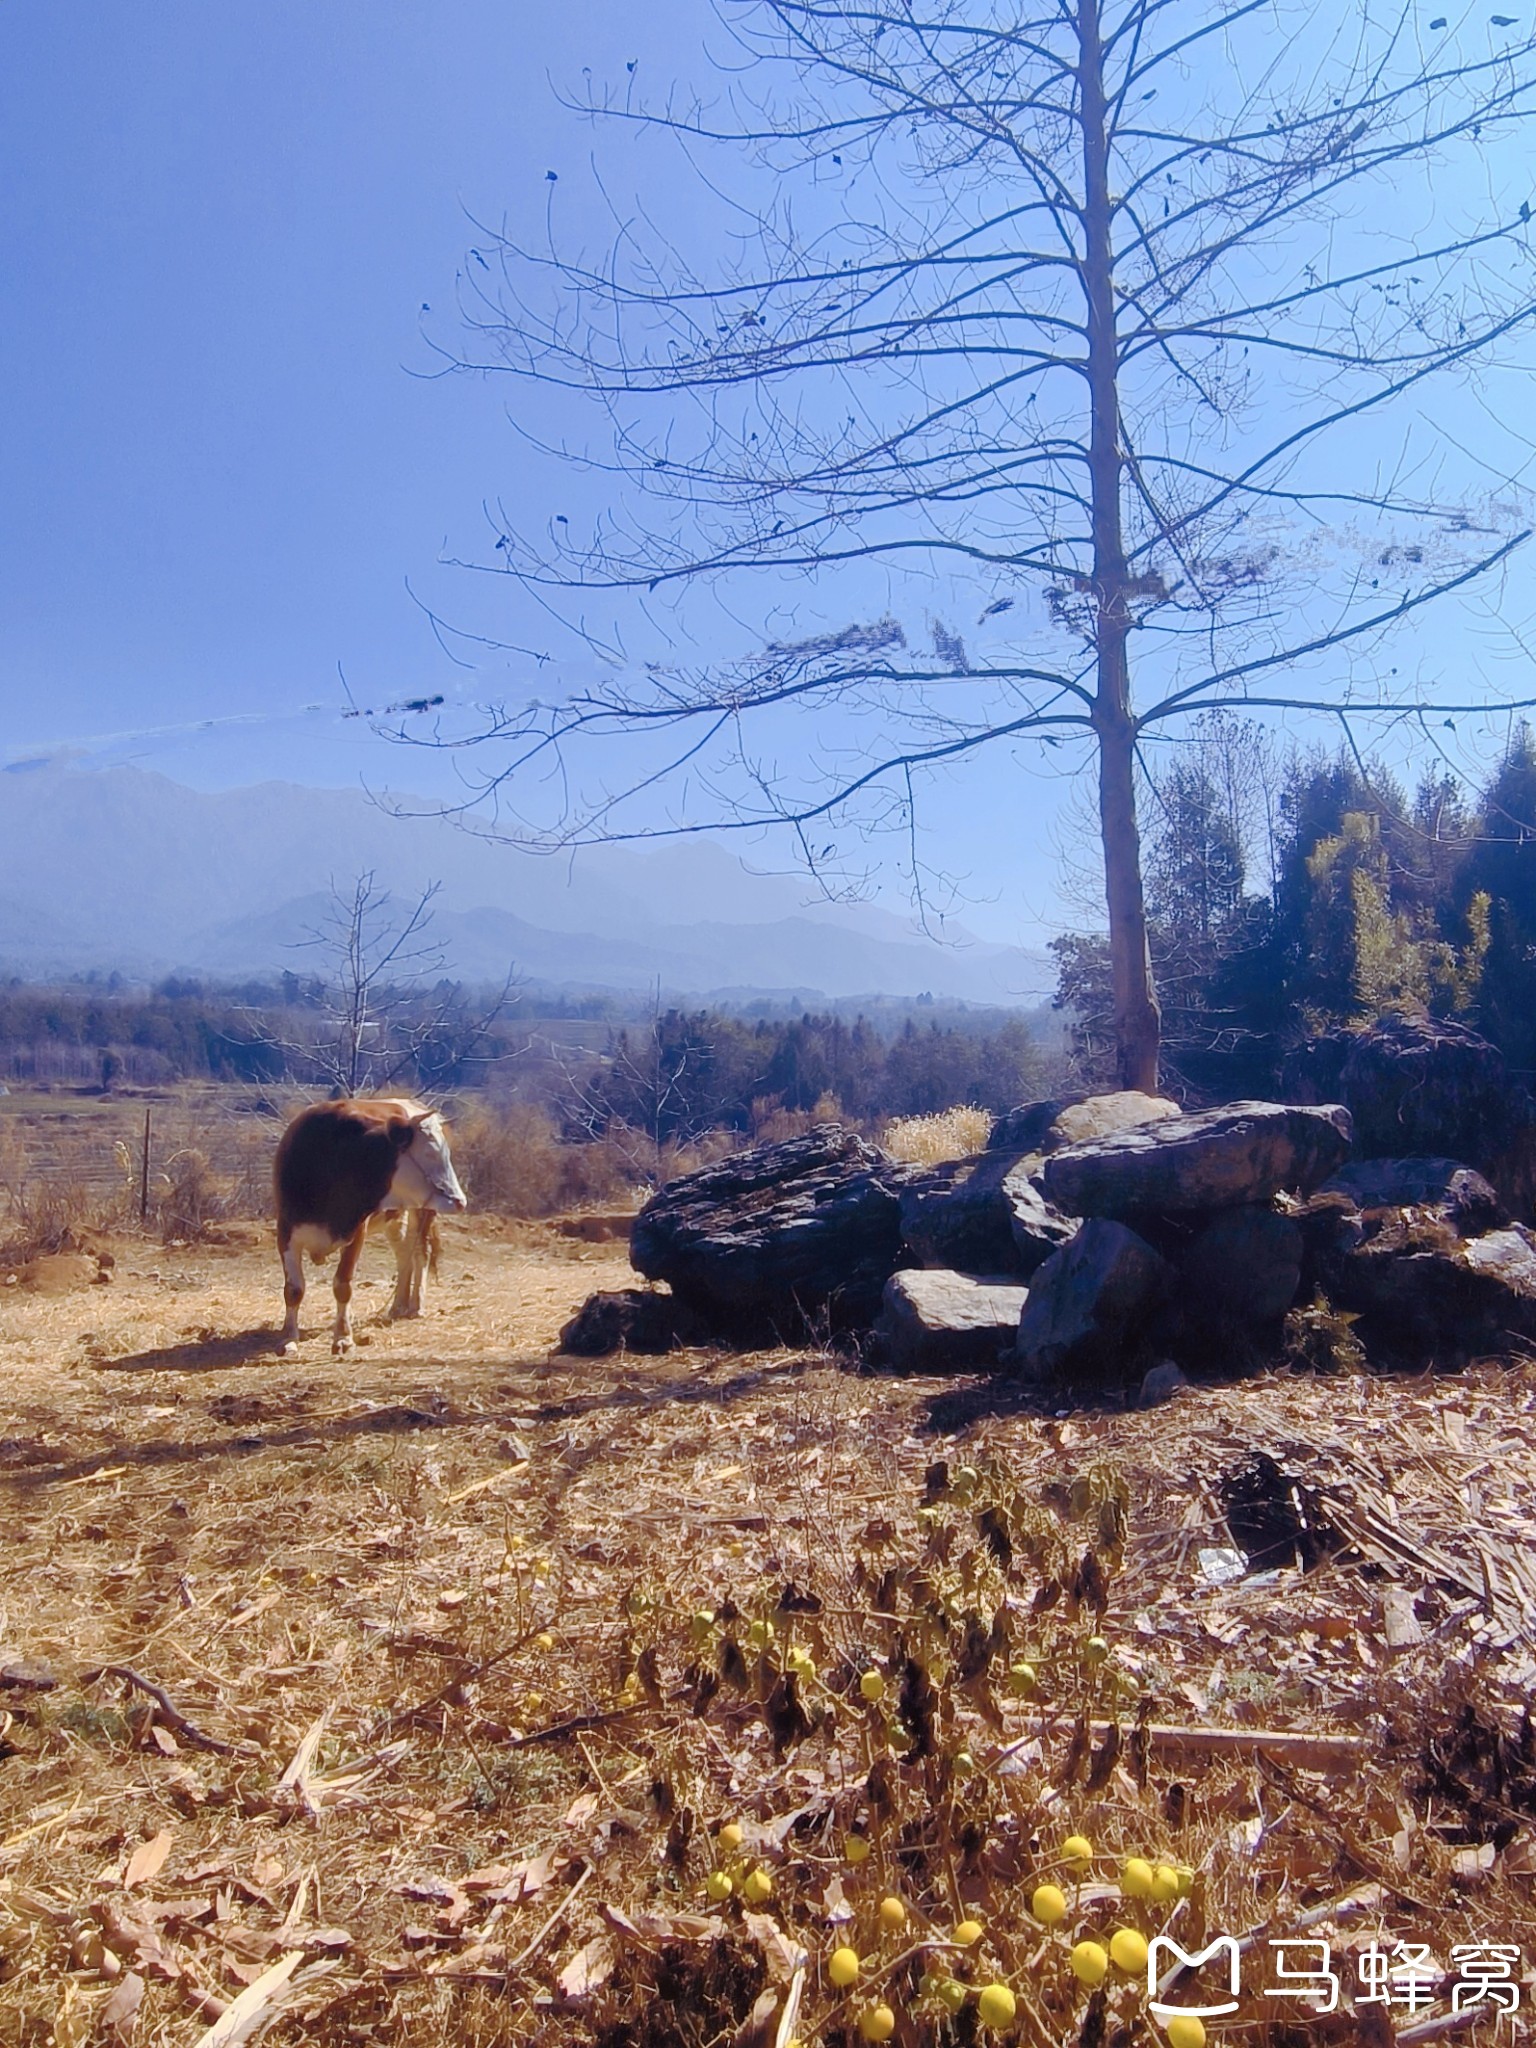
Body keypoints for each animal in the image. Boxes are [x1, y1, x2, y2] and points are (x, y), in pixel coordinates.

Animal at [276, 1097, 466, 1351]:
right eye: (430, 1153)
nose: (460, 1201)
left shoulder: (357, 1232)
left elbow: (342, 1285)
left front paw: (343, 1337)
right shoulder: (285, 1231)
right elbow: (294, 1289)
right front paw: (288, 1337)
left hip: (422, 1212)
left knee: (420, 1254)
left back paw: (416, 1305)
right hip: (396, 1219)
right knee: (404, 1256)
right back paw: (398, 1305)